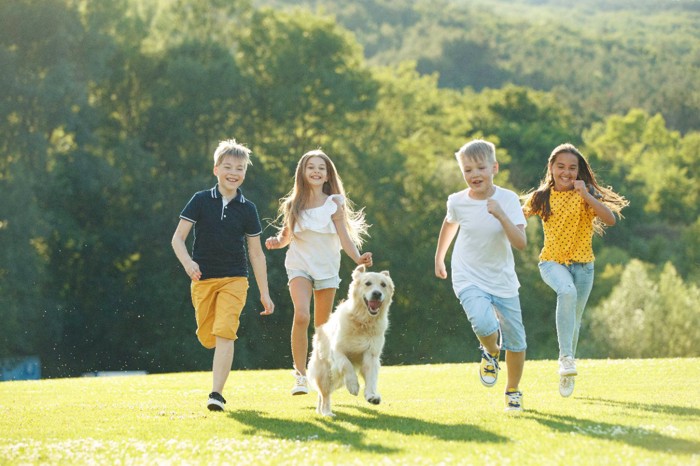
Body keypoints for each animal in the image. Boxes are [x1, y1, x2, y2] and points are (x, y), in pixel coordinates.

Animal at [308, 264, 394, 416]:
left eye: (383, 285)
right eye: (368, 283)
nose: (377, 294)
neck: (362, 321)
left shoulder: (371, 355)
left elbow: (371, 377)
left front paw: (371, 395)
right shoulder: (337, 351)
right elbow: (346, 365)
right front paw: (354, 386)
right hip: (325, 372)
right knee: (324, 394)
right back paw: (326, 412)